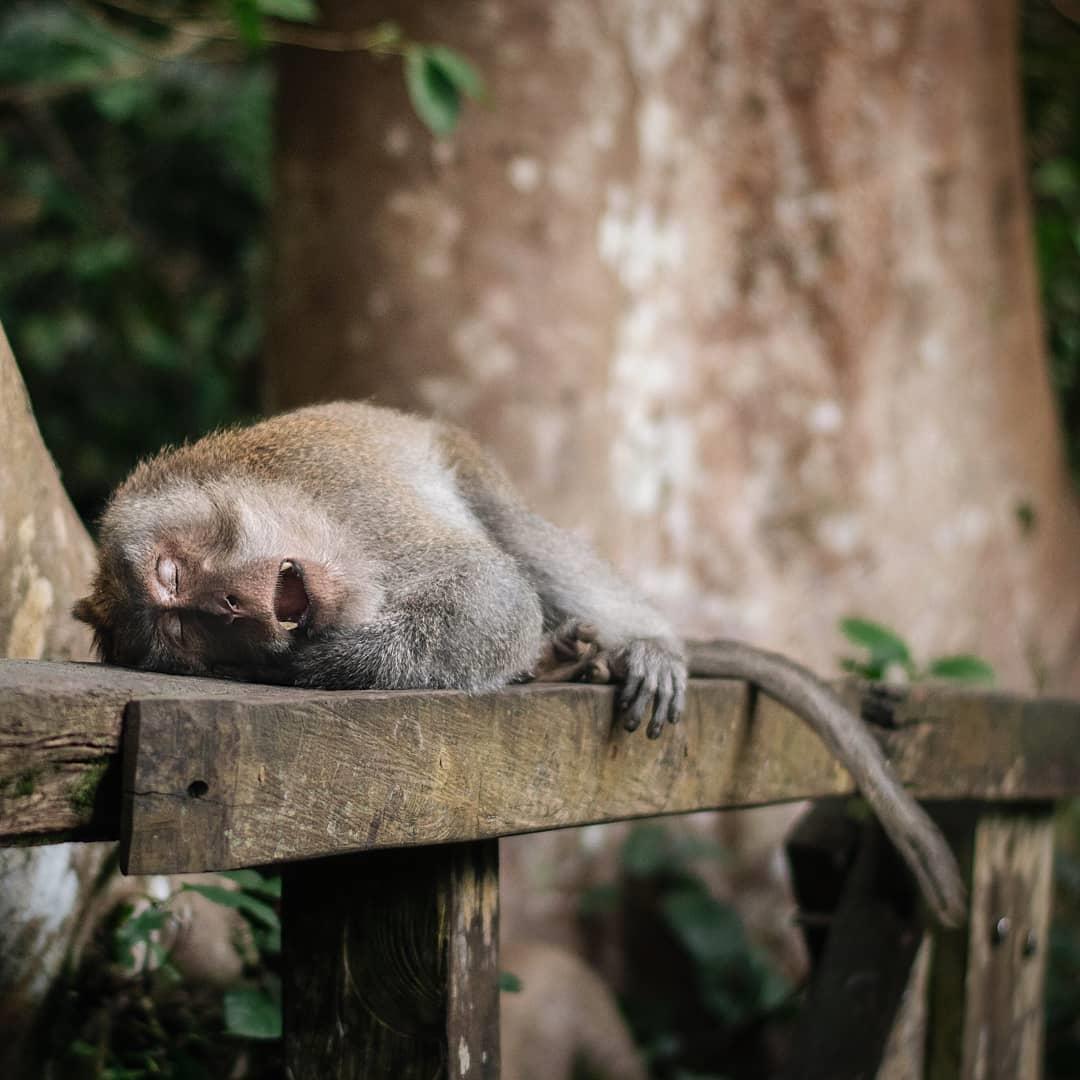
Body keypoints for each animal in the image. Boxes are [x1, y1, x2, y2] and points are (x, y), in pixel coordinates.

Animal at [73, 401, 966, 927]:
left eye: (175, 577)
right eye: (185, 633)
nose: (229, 607)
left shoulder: (349, 498)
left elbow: (490, 592)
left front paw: (325, 660)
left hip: (468, 465)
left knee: (513, 533)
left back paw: (637, 645)